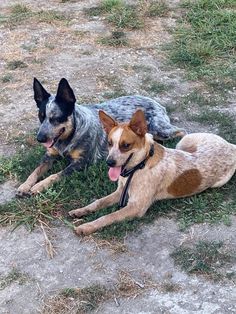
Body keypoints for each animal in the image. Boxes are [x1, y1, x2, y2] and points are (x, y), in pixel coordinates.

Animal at [16, 78, 185, 196]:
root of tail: (156, 102)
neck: (68, 139)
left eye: (56, 118)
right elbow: (35, 171)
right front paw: (25, 185)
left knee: (181, 131)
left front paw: (38, 186)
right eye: (41, 116)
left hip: (160, 129)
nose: (40, 138)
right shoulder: (50, 155)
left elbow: (55, 175)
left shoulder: (82, 162)